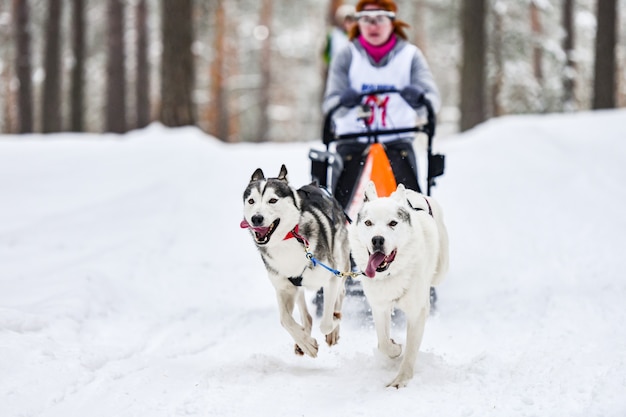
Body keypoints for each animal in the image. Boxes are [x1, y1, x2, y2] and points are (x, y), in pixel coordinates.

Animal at [239, 164, 348, 356]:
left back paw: (334, 330)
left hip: (340, 263)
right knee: (307, 316)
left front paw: (334, 323)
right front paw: (307, 343)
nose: (256, 218)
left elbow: (326, 322)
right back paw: (302, 340)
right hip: (297, 288)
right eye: (251, 201)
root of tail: (315, 185)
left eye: (272, 200)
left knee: (340, 295)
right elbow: (285, 320)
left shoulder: (331, 278)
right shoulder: (284, 288)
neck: (287, 240)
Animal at [348, 182, 446, 386]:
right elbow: (383, 343)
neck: (391, 273)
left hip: (440, 270)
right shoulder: (379, 306)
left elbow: (410, 351)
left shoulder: (416, 313)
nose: (377, 239)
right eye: (368, 223)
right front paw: (394, 349)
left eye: (393, 223)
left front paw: (401, 380)